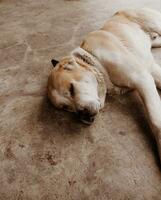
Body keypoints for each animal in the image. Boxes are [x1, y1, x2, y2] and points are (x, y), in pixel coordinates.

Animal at [47, 7, 161, 161]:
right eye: (65, 107)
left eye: (71, 89)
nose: (83, 115)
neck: (95, 61)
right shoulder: (149, 71)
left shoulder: (141, 77)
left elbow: (155, 117)